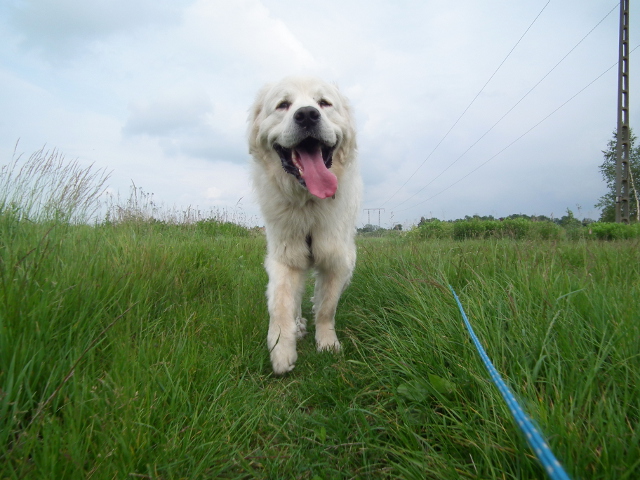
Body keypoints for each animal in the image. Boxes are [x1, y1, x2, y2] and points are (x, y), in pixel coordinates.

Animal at [248, 77, 362, 375]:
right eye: (283, 105)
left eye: (324, 103)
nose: (308, 115)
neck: (309, 202)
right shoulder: (285, 257)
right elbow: (280, 304)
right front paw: (281, 349)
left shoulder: (338, 259)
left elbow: (327, 306)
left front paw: (327, 342)